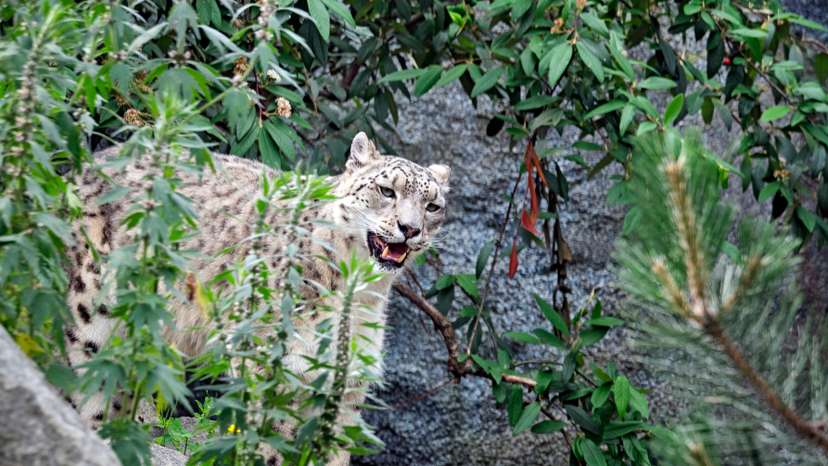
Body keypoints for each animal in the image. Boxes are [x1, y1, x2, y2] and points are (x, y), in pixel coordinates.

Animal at [63, 132, 450, 465]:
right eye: (386, 190)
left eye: (432, 206)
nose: (410, 228)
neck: (357, 291)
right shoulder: (270, 359)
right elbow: (270, 439)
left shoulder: (347, 376)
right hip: (91, 313)